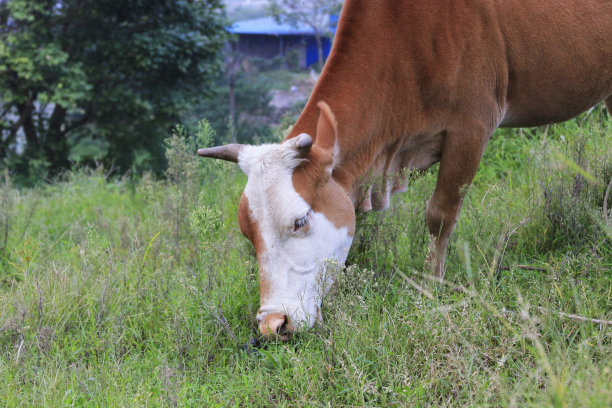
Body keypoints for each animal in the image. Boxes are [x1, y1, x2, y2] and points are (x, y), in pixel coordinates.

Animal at [198, 0, 608, 340]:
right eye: (248, 234)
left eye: (299, 221)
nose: (273, 324)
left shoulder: (471, 127)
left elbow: (439, 215)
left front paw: (432, 287)